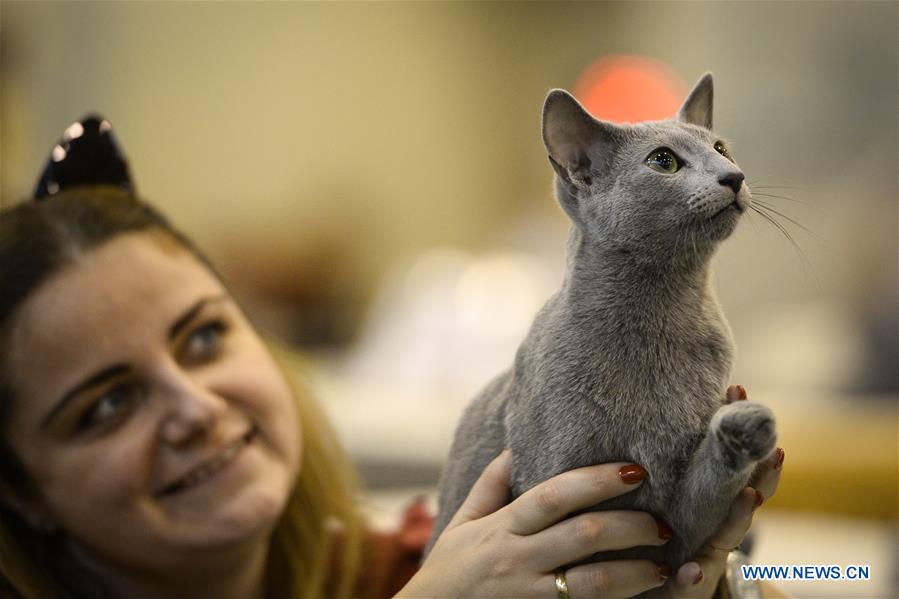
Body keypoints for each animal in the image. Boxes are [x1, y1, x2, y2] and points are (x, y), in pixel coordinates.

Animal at [426, 75, 776, 576]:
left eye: (721, 148)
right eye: (664, 161)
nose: (734, 176)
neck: (660, 323)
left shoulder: (675, 534)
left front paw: (746, 427)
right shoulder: (551, 485)